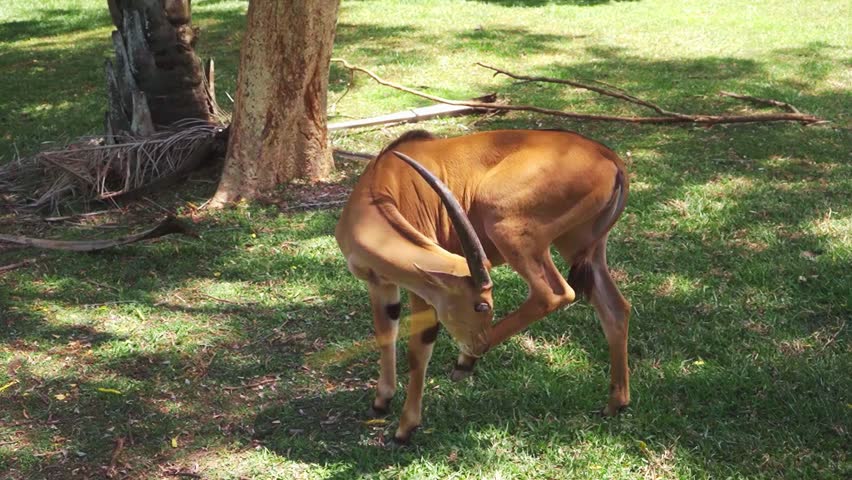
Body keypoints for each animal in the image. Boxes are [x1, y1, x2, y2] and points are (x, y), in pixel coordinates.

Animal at [335, 129, 630, 443]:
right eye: (481, 305)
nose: (478, 343)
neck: (379, 185)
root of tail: (609, 157)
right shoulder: (380, 284)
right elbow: (385, 333)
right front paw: (381, 401)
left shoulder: (422, 293)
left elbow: (418, 350)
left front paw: (405, 427)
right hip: (580, 247)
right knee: (616, 309)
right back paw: (616, 403)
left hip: (510, 229)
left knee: (555, 293)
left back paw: (465, 361)